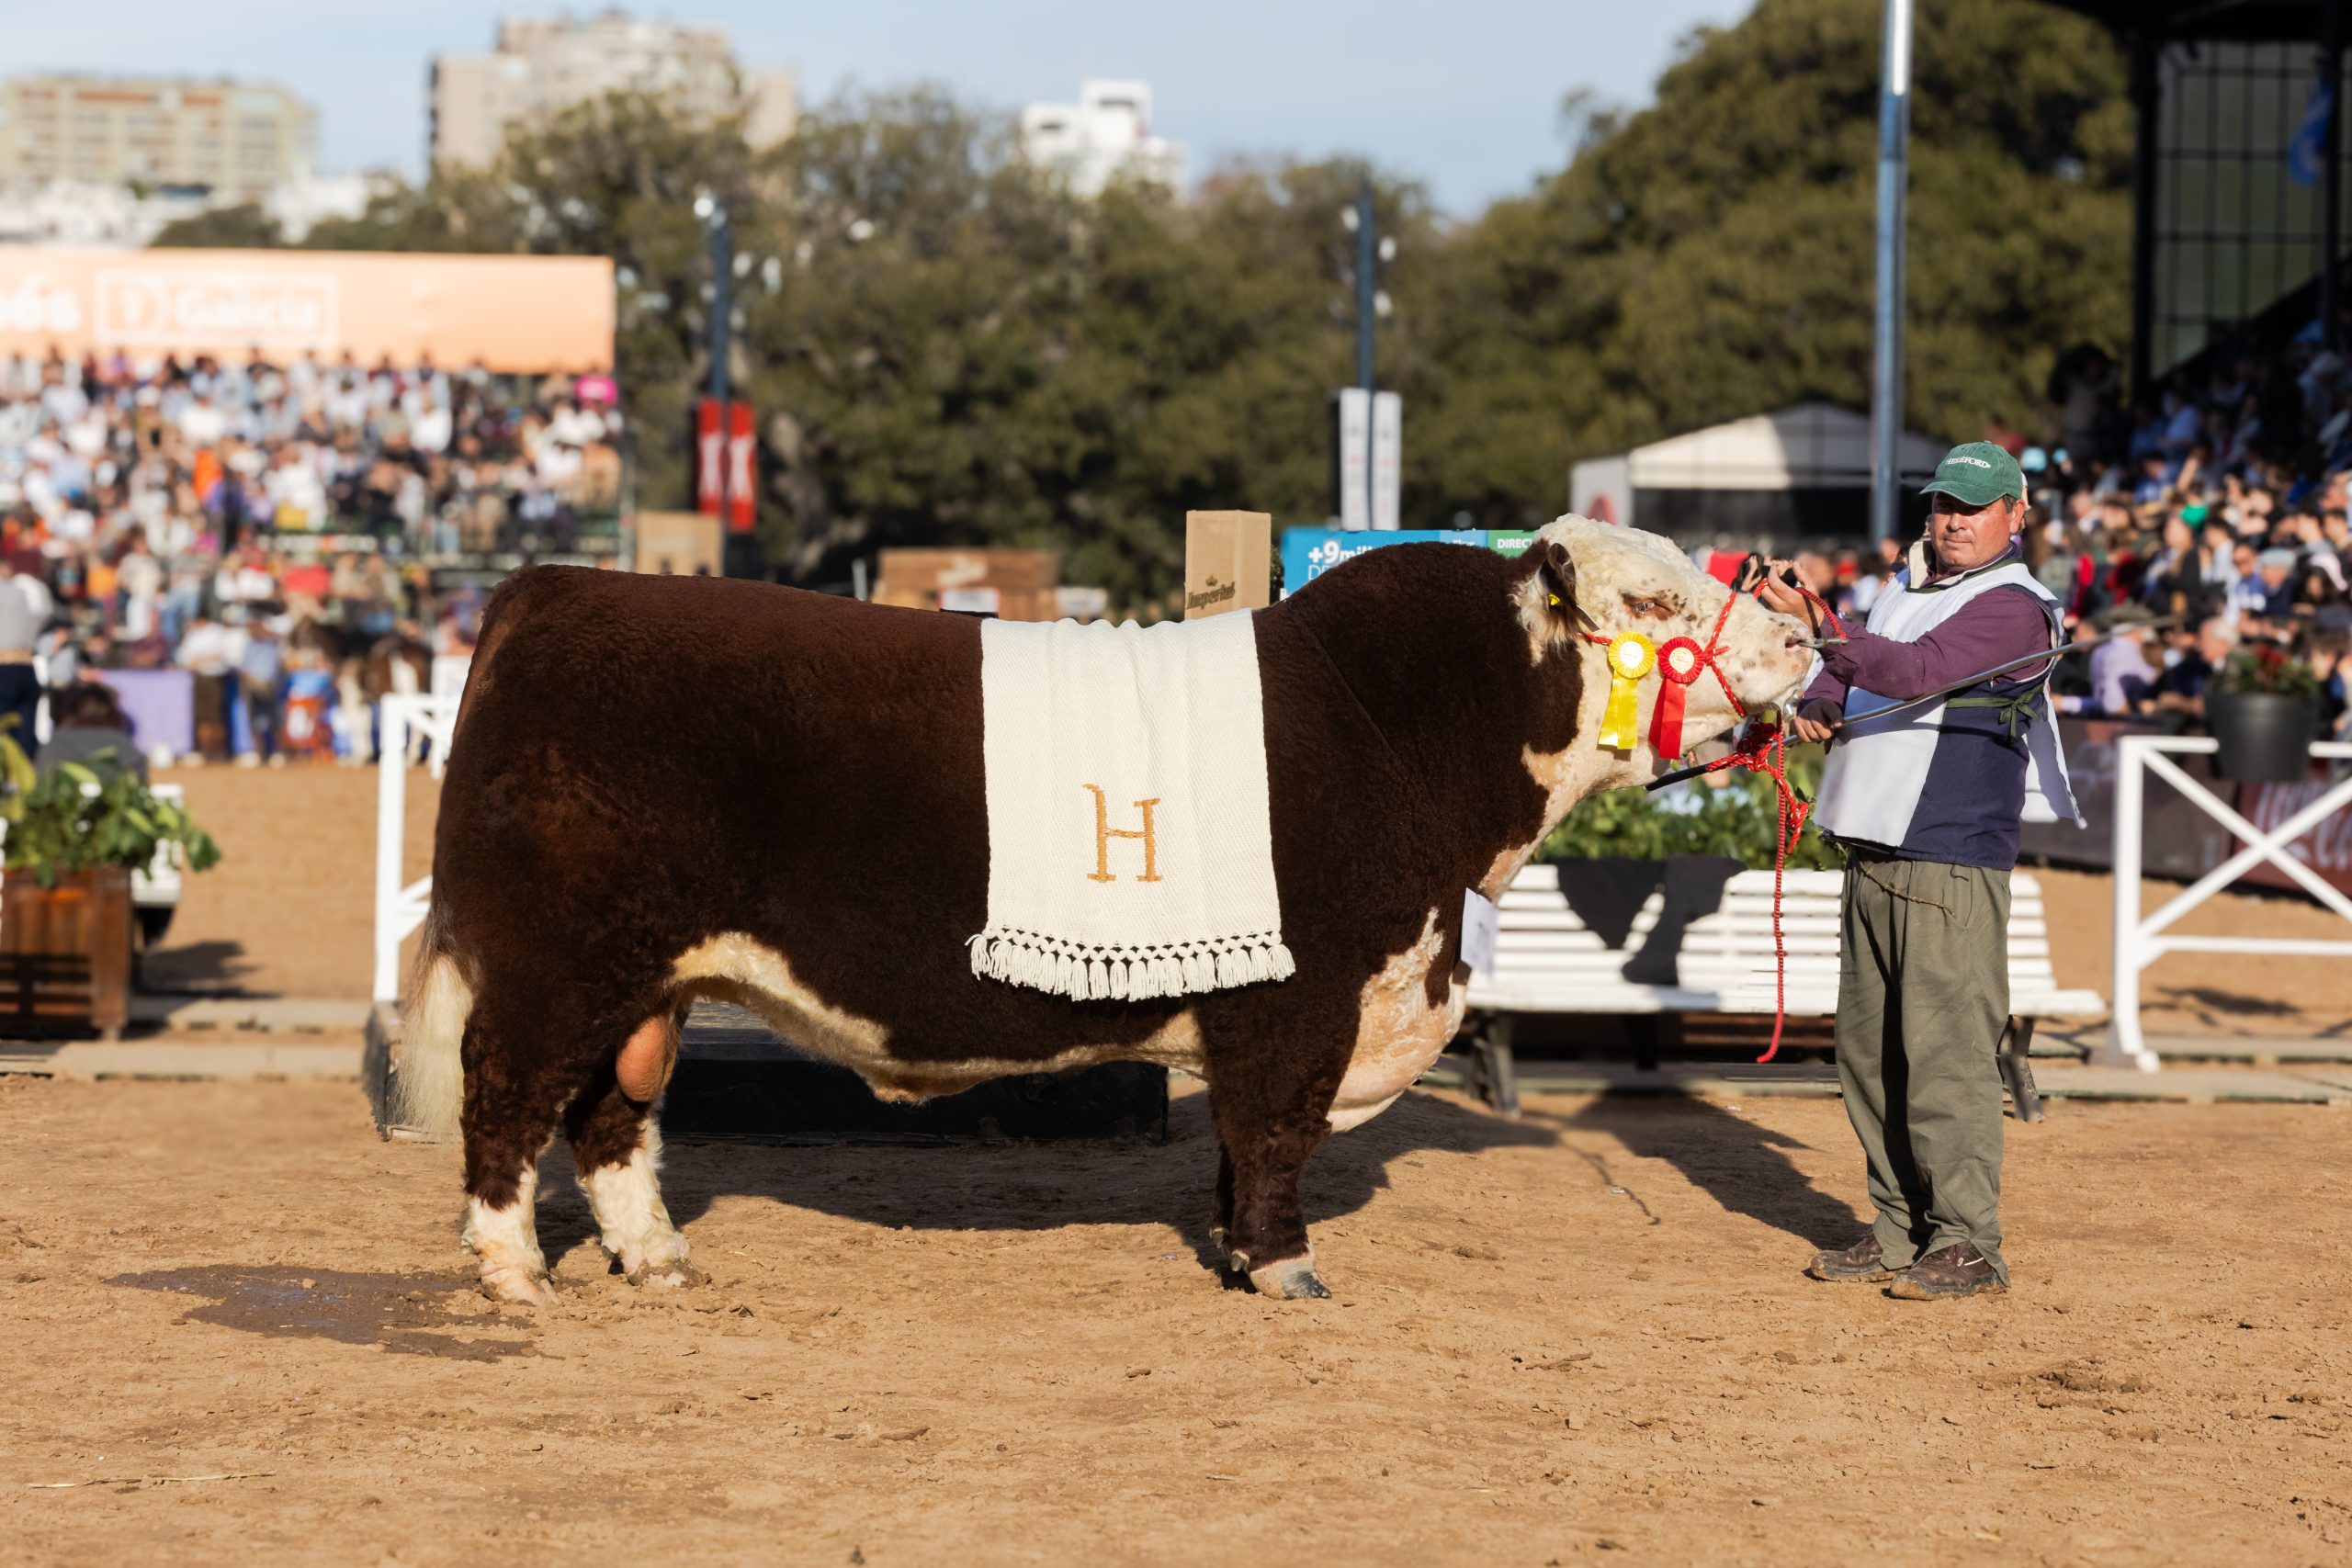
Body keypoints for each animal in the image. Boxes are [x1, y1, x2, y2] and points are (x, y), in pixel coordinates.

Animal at [395, 514, 1806, 1297]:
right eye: (1658, 603)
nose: (1802, 635)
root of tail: (554, 587)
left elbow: (1239, 1143)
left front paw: (1238, 1254)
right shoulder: (1301, 1002)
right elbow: (1276, 1138)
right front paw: (1285, 1268)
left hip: (647, 979)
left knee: (610, 1113)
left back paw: (656, 1258)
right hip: (555, 968)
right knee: (507, 1098)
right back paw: (514, 1273)